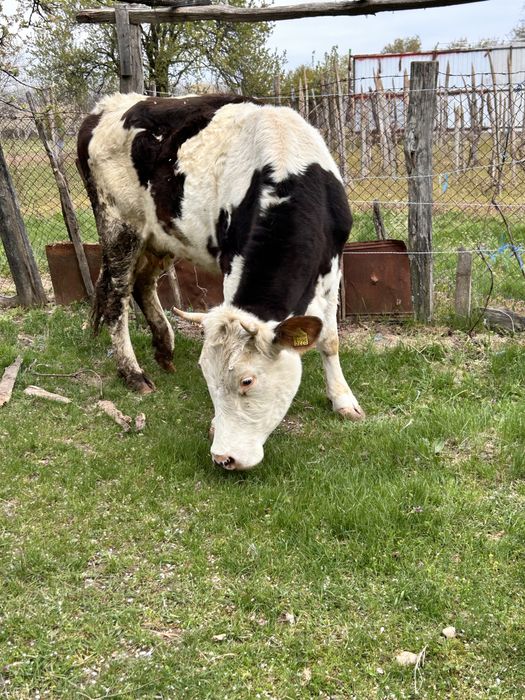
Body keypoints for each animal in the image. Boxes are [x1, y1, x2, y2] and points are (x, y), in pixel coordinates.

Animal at [77, 92, 365, 470]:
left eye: (247, 380)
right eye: (207, 376)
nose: (224, 457)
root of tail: (105, 106)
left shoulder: (333, 265)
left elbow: (329, 339)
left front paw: (343, 400)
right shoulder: (232, 263)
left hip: (161, 235)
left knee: (143, 284)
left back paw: (164, 348)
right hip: (118, 224)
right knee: (117, 296)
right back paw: (133, 374)